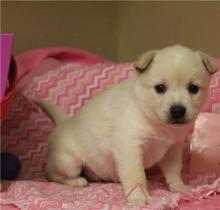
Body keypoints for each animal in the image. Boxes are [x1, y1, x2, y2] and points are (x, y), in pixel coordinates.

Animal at [34, 45, 217, 204]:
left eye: (193, 88)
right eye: (160, 88)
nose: (178, 110)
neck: (152, 118)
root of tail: (64, 123)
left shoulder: (172, 149)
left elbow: (174, 170)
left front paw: (178, 186)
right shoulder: (130, 147)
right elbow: (136, 176)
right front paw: (138, 197)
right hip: (69, 162)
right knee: (51, 174)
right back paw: (75, 181)